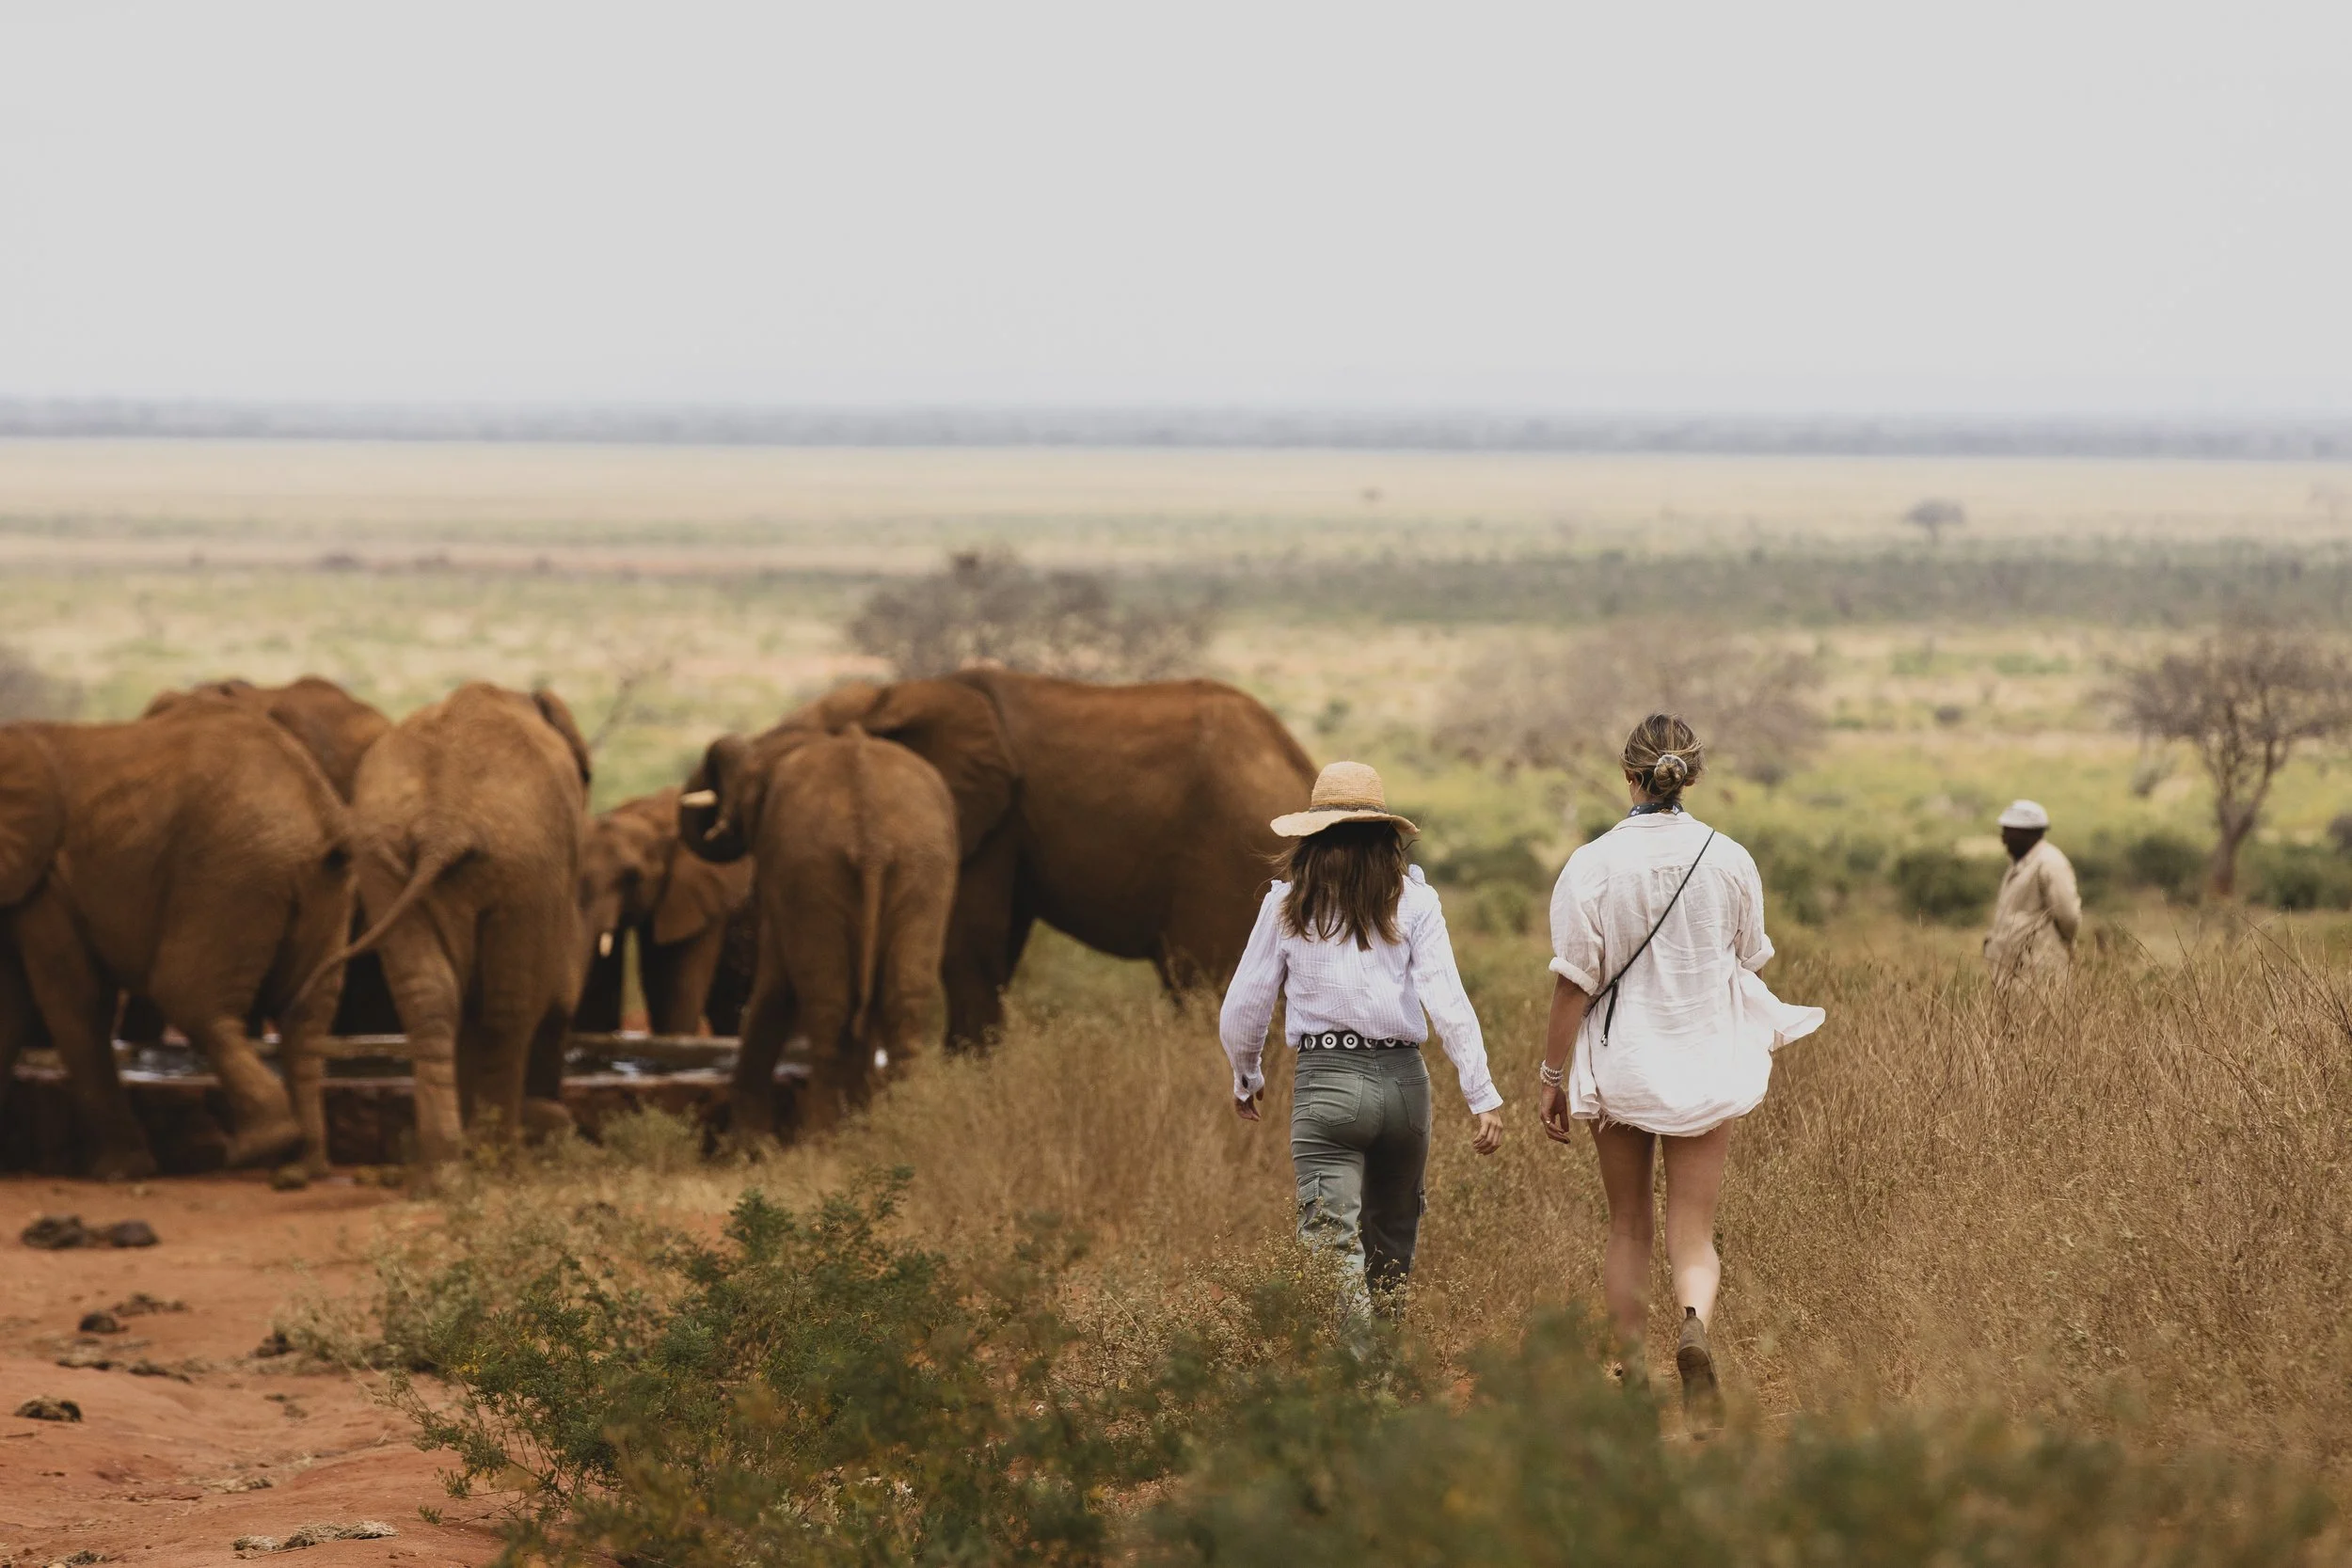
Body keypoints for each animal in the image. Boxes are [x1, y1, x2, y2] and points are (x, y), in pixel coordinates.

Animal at [0, 710, 354, 1177]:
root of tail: (319, 808)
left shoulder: (46, 884)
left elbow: (75, 1003)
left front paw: (122, 1172)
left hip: (230, 873)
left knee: (189, 998)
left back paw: (257, 1149)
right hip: (322, 888)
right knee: (305, 1019)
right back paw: (300, 1171)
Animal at [296, 682, 593, 1169]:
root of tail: (443, 821)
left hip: (385, 857)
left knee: (430, 995)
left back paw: (445, 1164)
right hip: (524, 861)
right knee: (508, 1008)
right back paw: (498, 1159)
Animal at [682, 670, 1317, 1049]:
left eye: (776, 771)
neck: (898, 694)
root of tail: (1299, 763)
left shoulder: (988, 820)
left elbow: (971, 945)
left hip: (1224, 857)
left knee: (1203, 980)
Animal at [683, 725, 957, 1139]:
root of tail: (872, 842)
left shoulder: (780, 876)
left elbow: (774, 989)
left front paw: (748, 1145)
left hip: (812, 873)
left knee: (828, 1009)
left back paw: (821, 1141)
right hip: (921, 869)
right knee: (903, 1001)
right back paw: (907, 1129)